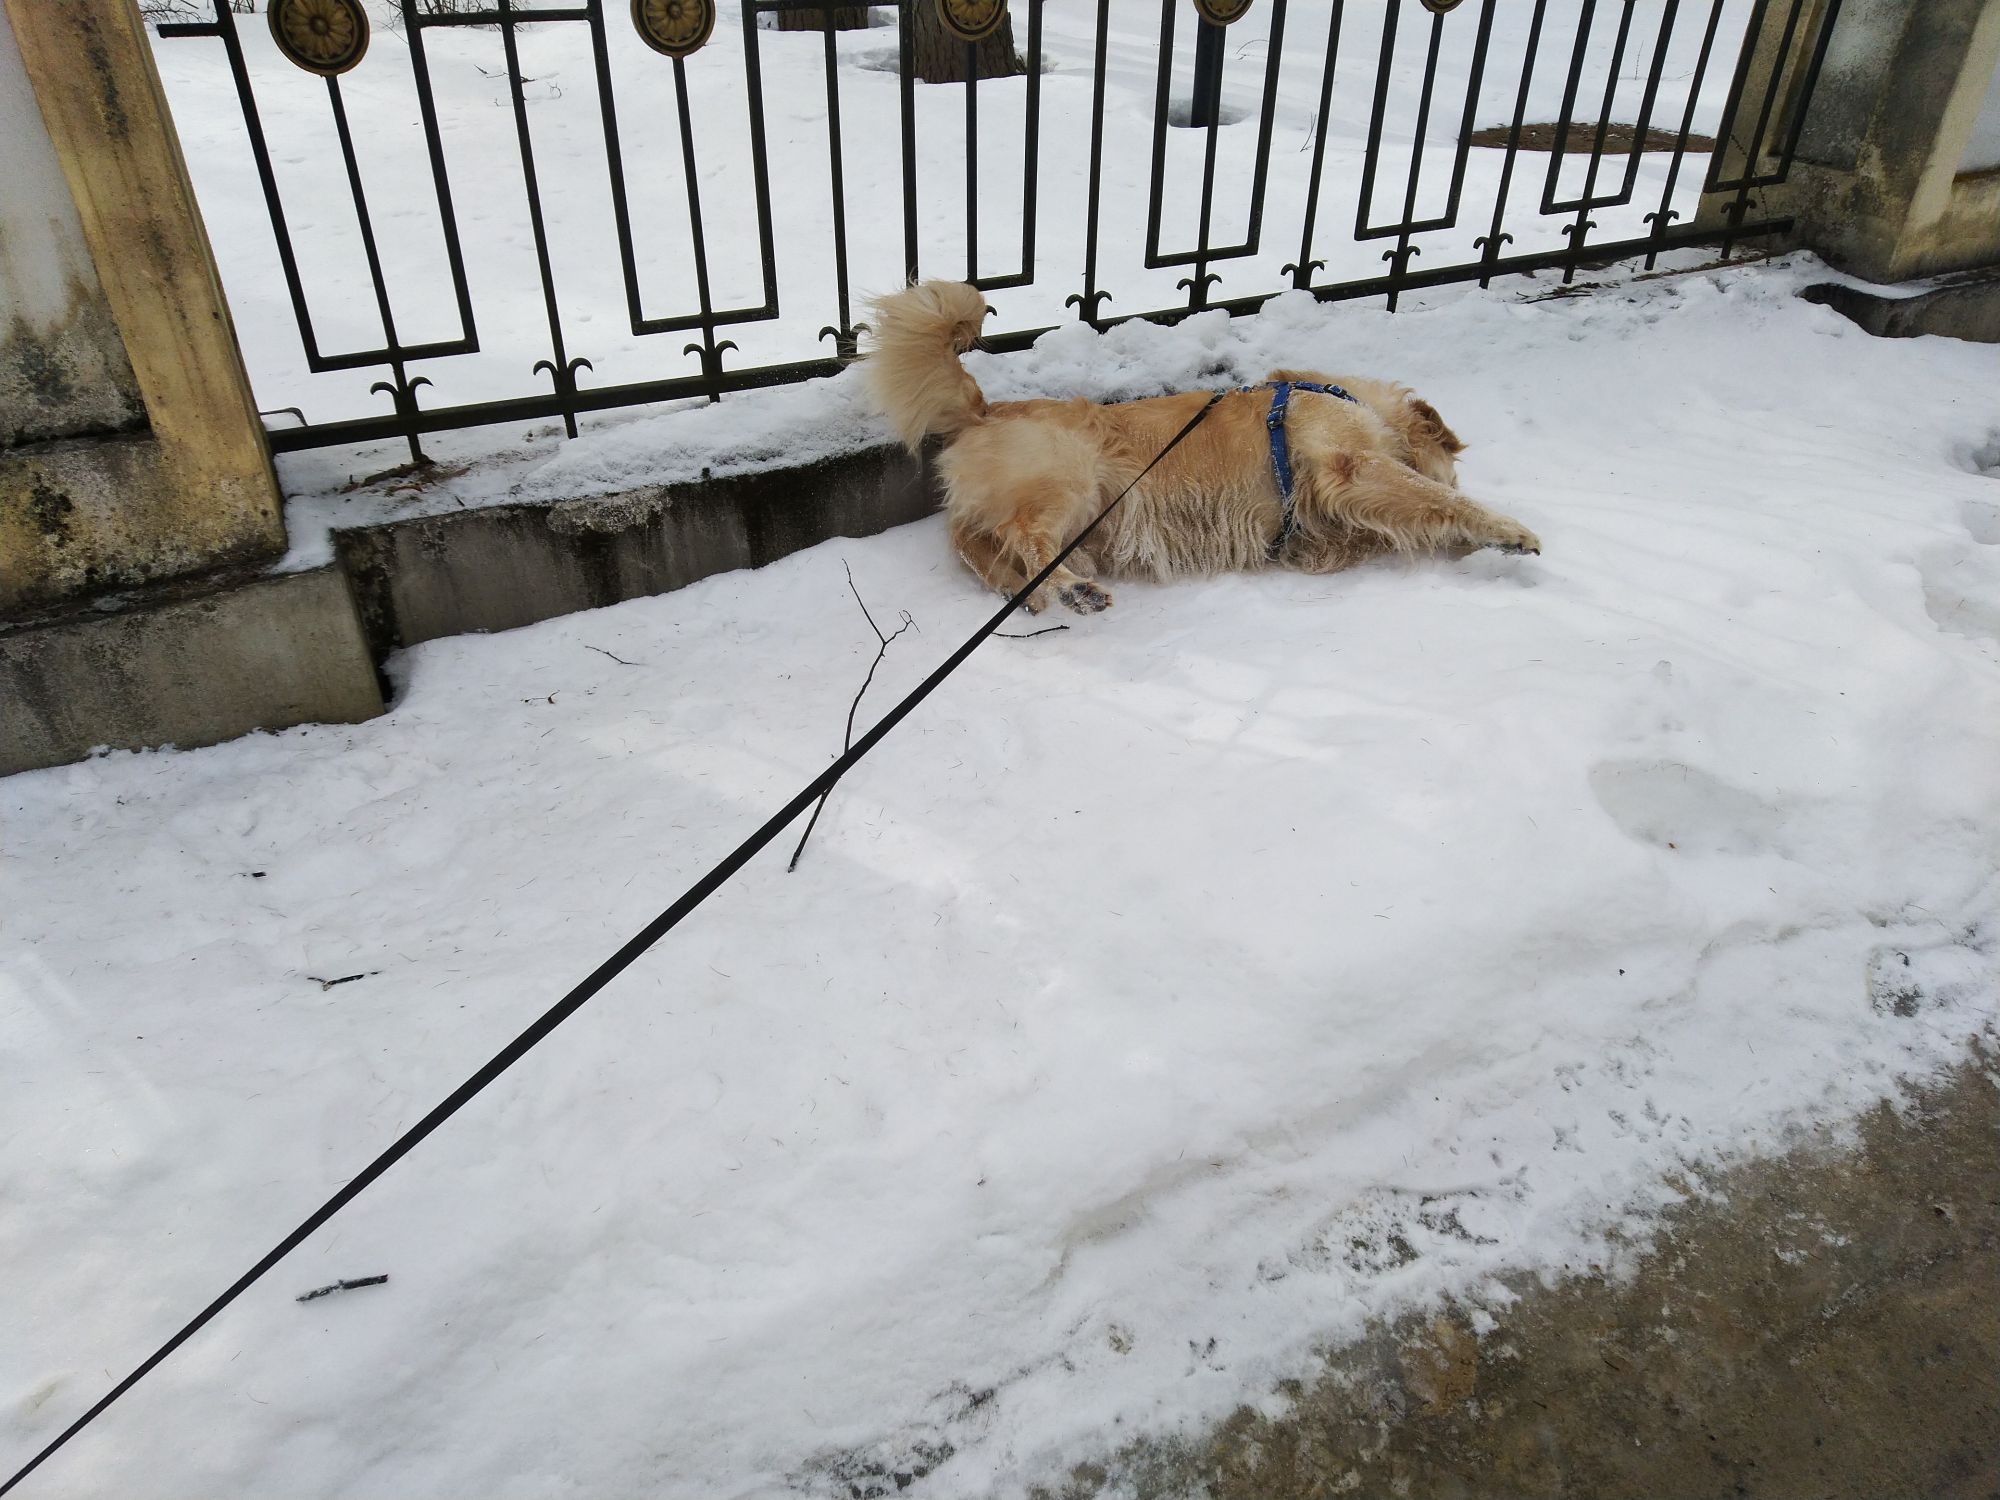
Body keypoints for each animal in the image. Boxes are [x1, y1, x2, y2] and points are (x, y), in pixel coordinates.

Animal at [862, 280, 1540, 615]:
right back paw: (1069, 589)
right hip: (1070, 483)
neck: (1354, 398)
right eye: (1454, 467)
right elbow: (1428, 496)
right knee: (1026, 537)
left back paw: (1021, 589)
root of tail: (985, 410)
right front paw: (1506, 529)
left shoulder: (1325, 522)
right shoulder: (1350, 466)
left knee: (976, 541)